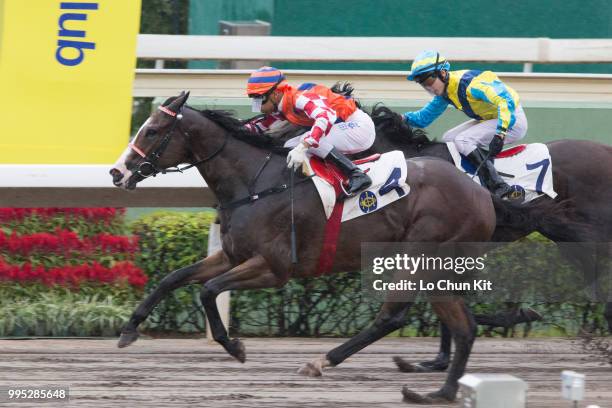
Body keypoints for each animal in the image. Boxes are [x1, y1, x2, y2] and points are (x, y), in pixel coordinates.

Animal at [109, 91, 560, 402]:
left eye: (152, 130)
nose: (116, 172)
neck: (254, 182)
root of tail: (482, 192)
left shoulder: (273, 267)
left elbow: (207, 290)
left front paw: (234, 346)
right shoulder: (233, 254)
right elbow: (174, 278)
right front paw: (130, 329)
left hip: (421, 256)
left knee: (399, 316)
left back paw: (329, 361)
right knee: (439, 318)